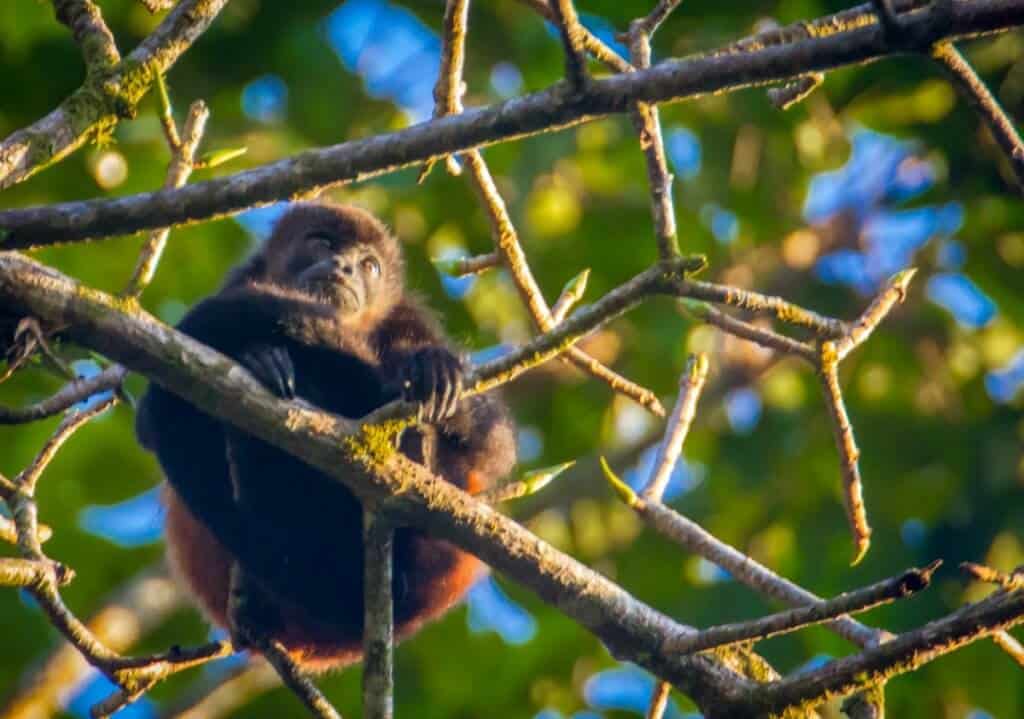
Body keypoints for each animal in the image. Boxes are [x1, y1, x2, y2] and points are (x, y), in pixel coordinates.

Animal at [136, 201, 516, 671]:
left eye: (370, 265)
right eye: (323, 242)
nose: (345, 267)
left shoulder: (410, 317)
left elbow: (495, 448)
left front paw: (434, 369)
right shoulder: (237, 282)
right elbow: (148, 423)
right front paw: (267, 358)